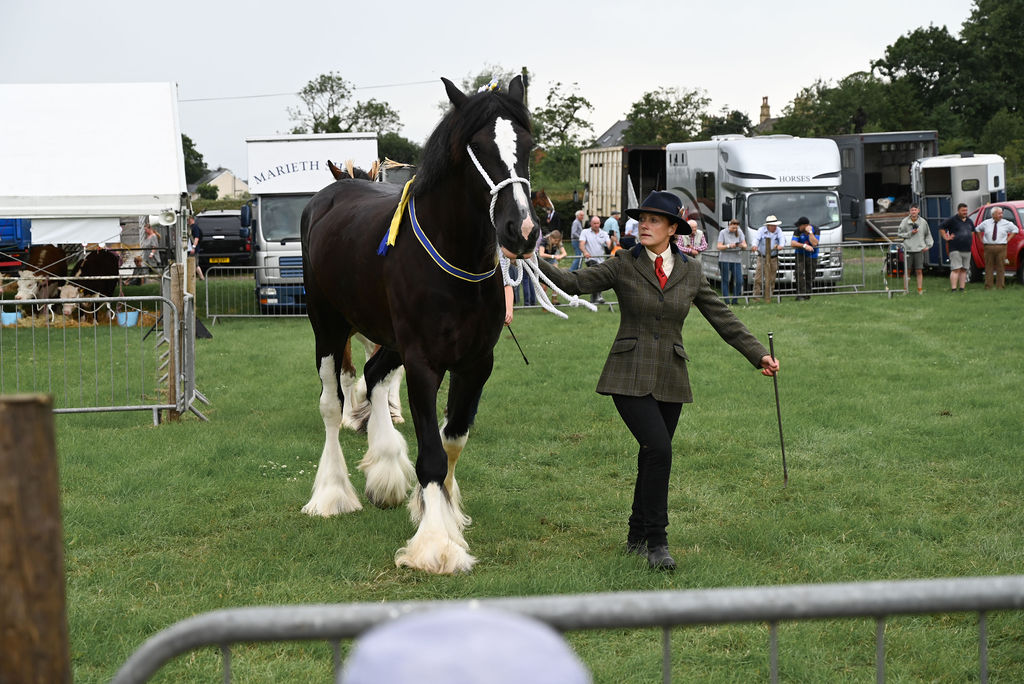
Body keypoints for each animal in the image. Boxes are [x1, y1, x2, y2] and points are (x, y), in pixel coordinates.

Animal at [299, 77, 540, 573]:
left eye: (528, 145)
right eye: (477, 146)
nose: (522, 231)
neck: (456, 263)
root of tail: (328, 196)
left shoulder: (476, 363)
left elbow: (452, 442)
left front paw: (440, 511)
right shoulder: (423, 363)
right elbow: (431, 453)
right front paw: (435, 543)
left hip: (387, 338)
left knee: (373, 376)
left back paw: (386, 473)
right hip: (328, 326)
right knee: (332, 405)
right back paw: (332, 495)